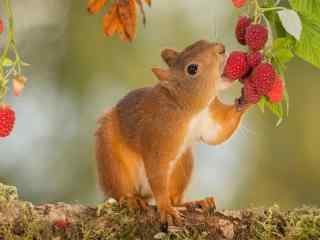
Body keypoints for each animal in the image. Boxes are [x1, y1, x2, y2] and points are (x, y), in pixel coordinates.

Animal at [95, 39, 250, 231]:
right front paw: (166, 209)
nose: (221, 48)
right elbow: (157, 170)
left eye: (201, 41)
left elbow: (219, 133)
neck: (186, 108)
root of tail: (144, 193)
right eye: (192, 69)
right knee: (118, 191)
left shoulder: (209, 118)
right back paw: (131, 200)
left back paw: (196, 202)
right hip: (112, 162)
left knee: (175, 198)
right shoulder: (158, 133)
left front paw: (248, 97)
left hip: (183, 163)